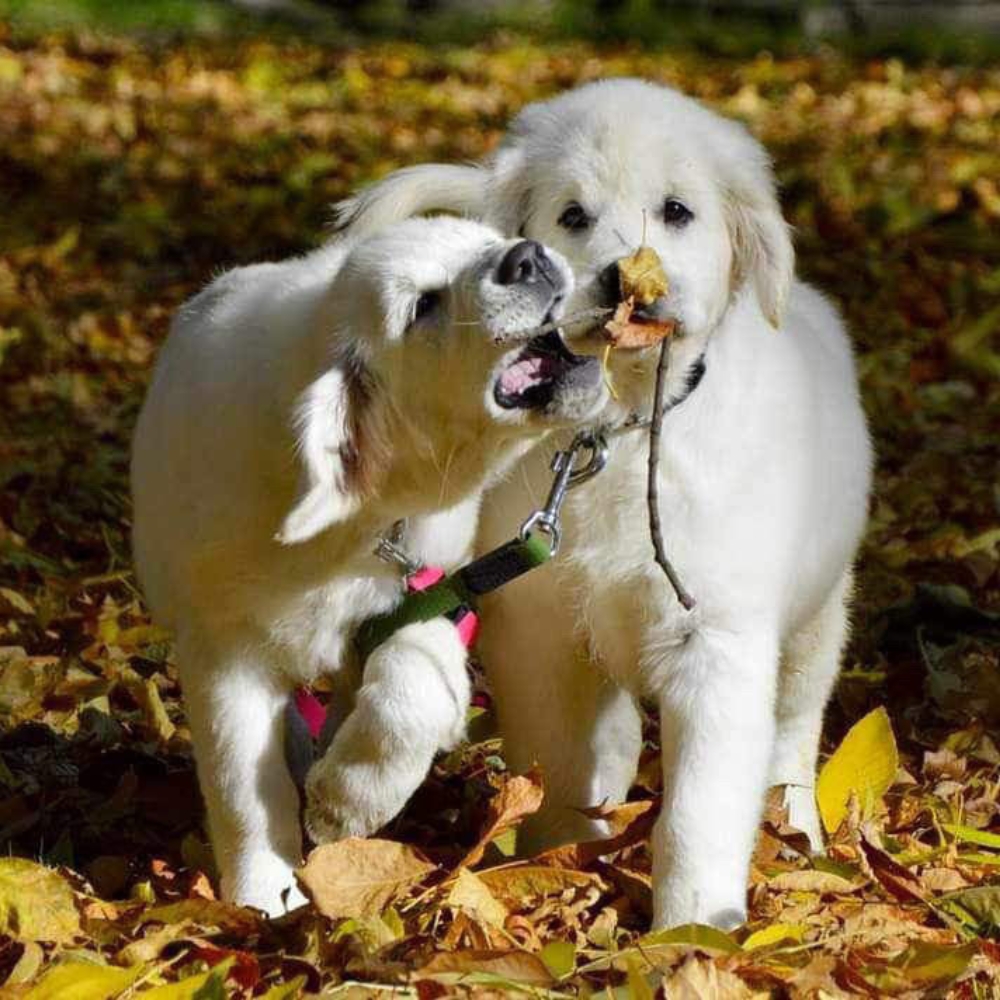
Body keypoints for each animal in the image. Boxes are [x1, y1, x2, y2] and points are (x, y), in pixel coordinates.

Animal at [130, 217, 604, 916]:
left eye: (486, 239)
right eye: (423, 307)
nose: (528, 256)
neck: (355, 523)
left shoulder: (426, 589)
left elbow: (412, 687)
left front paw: (347, 801)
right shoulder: (223, 648)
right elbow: (243, 784)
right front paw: (265, 898)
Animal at [332, 78, 872, 928]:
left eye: (677, 211)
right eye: (573, 216)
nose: (626, 279)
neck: (614, 433)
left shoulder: (715, 638)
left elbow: (700, 807)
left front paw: (694, 928)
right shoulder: (540, 630)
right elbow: (561, 763)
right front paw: (559, 860)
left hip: (817, 619)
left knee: (791, 728)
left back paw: (795, 831)